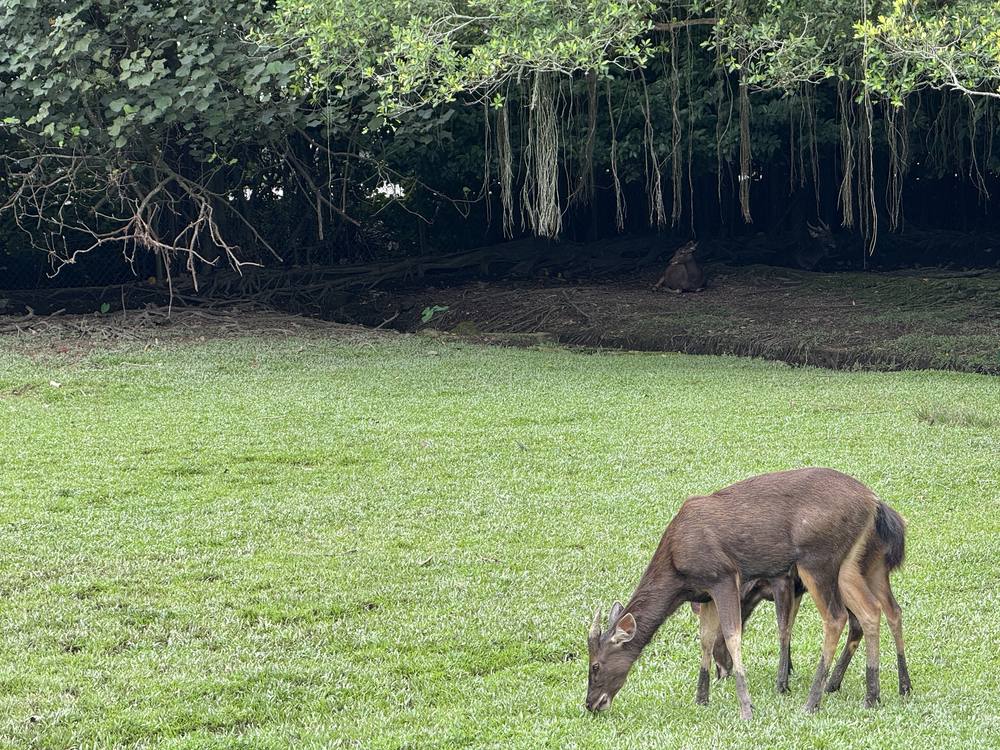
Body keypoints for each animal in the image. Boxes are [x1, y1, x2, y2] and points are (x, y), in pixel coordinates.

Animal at [693, 498, 909, 701]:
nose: (721, 673)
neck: (755, 586)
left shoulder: (783, 580)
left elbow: (783, 628)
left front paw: (782, 683)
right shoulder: (796, 590)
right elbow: (790, 625)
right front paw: (789, 669)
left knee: (861, 617)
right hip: (875, 570)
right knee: (891, 611)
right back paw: (901, 685)